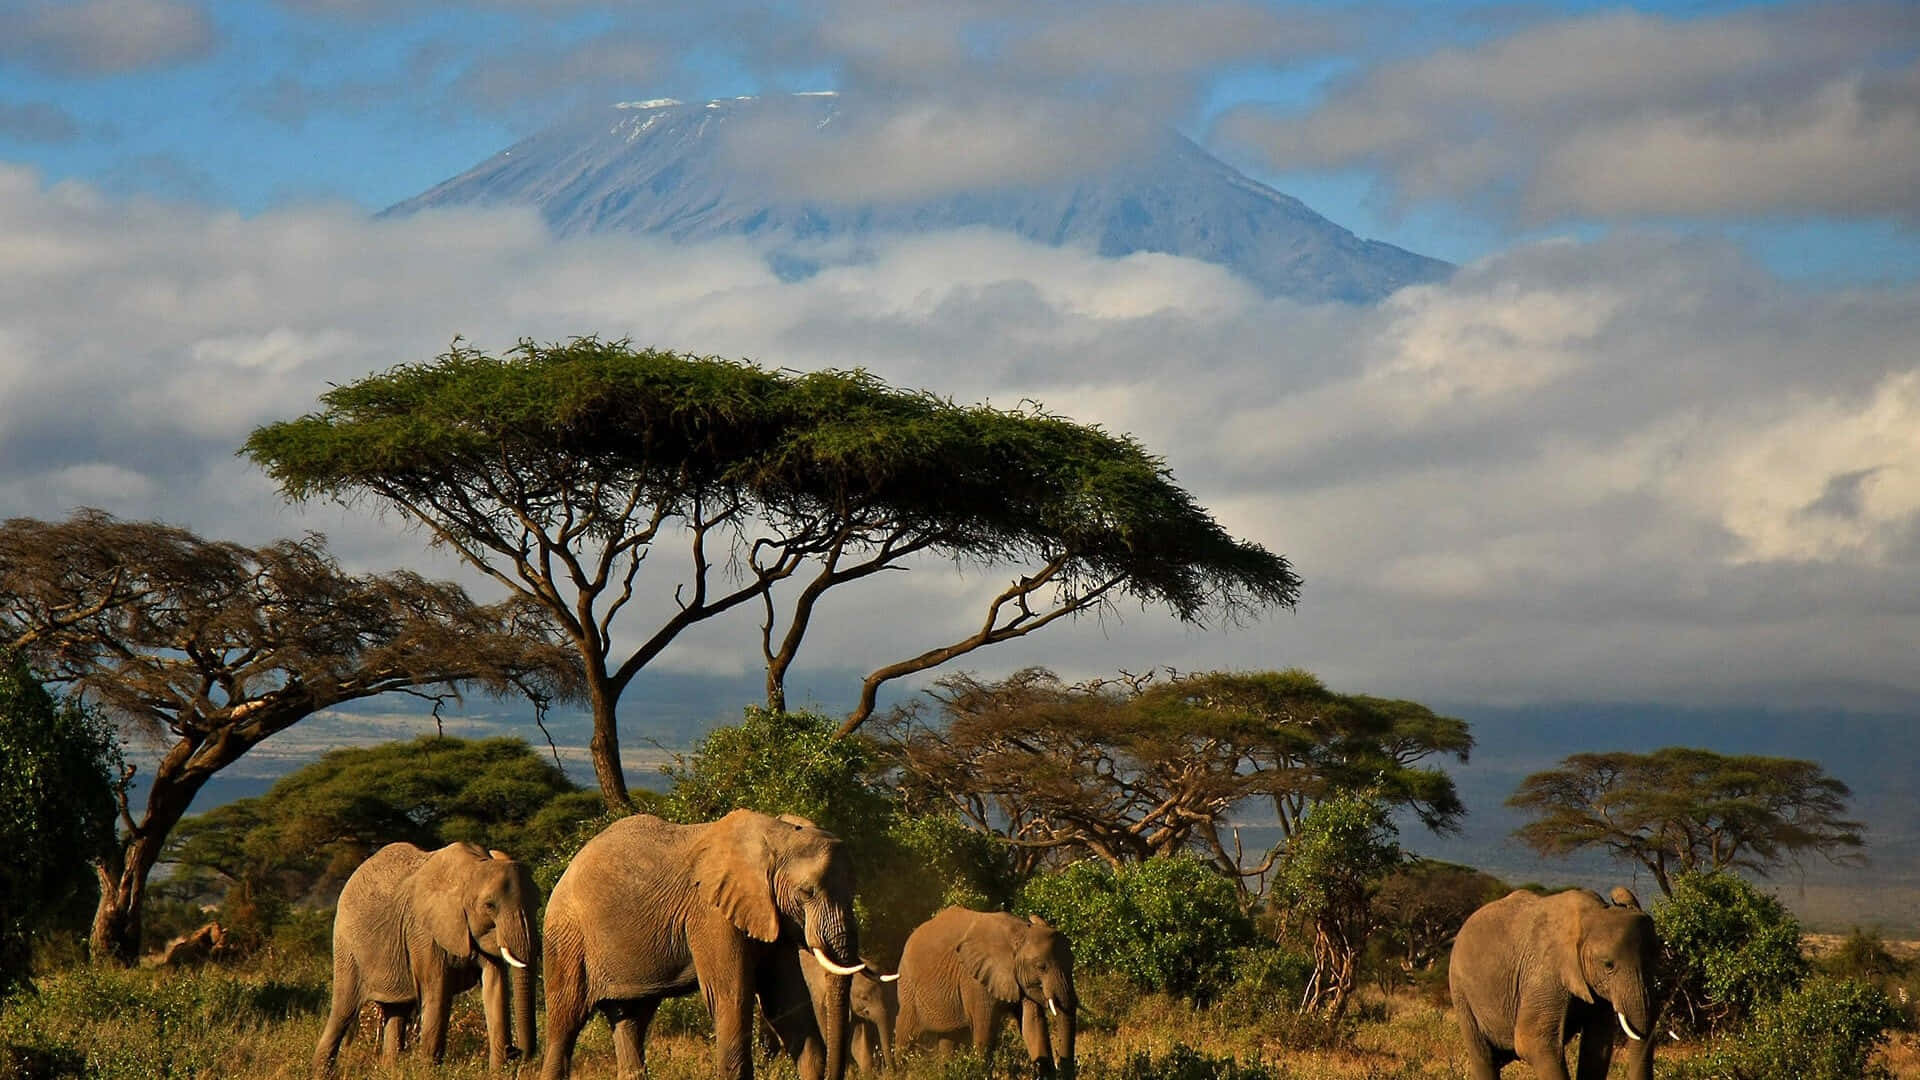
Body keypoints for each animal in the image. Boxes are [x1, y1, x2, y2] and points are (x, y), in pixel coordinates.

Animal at [312, 841, 541, 1076]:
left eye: (538, 905)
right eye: (489, 906)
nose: (516, 1051)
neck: (472, 867)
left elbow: (495, 987)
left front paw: (497, 1073)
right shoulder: (422, 932)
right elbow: (437, 992)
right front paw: (429, 1073)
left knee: (397, 1011)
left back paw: (390, 1071)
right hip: (347, 948)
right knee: (343, 1010)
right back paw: (320, 1072)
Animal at [545, 807, 867, 1076]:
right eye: (806, 892)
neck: (777, 836)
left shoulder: (772, 915)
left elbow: (785, 1004)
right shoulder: (712, 915)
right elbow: (732, 998)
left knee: (631, 1021)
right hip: (567, 938)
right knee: (565, 1023)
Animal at [890, 903, 1075, 1068]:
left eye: (1072, 962)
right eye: (1041, 967)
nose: (1061, 1063)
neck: (1020, 933)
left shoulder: (1022, 980)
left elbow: (1033, 1026)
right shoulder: (974, 980)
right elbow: (985, 1034)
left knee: (948, 1040)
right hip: (908, 988)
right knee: (904, 1036)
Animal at [1443, 883, 1658, 1076]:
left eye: (1655, 959)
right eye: (1608, 965)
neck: (1593, 914)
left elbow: (1597, 1047)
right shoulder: (1544, 973)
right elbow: (1532, 1041)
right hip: (1461, 992)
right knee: (1484, 1058)